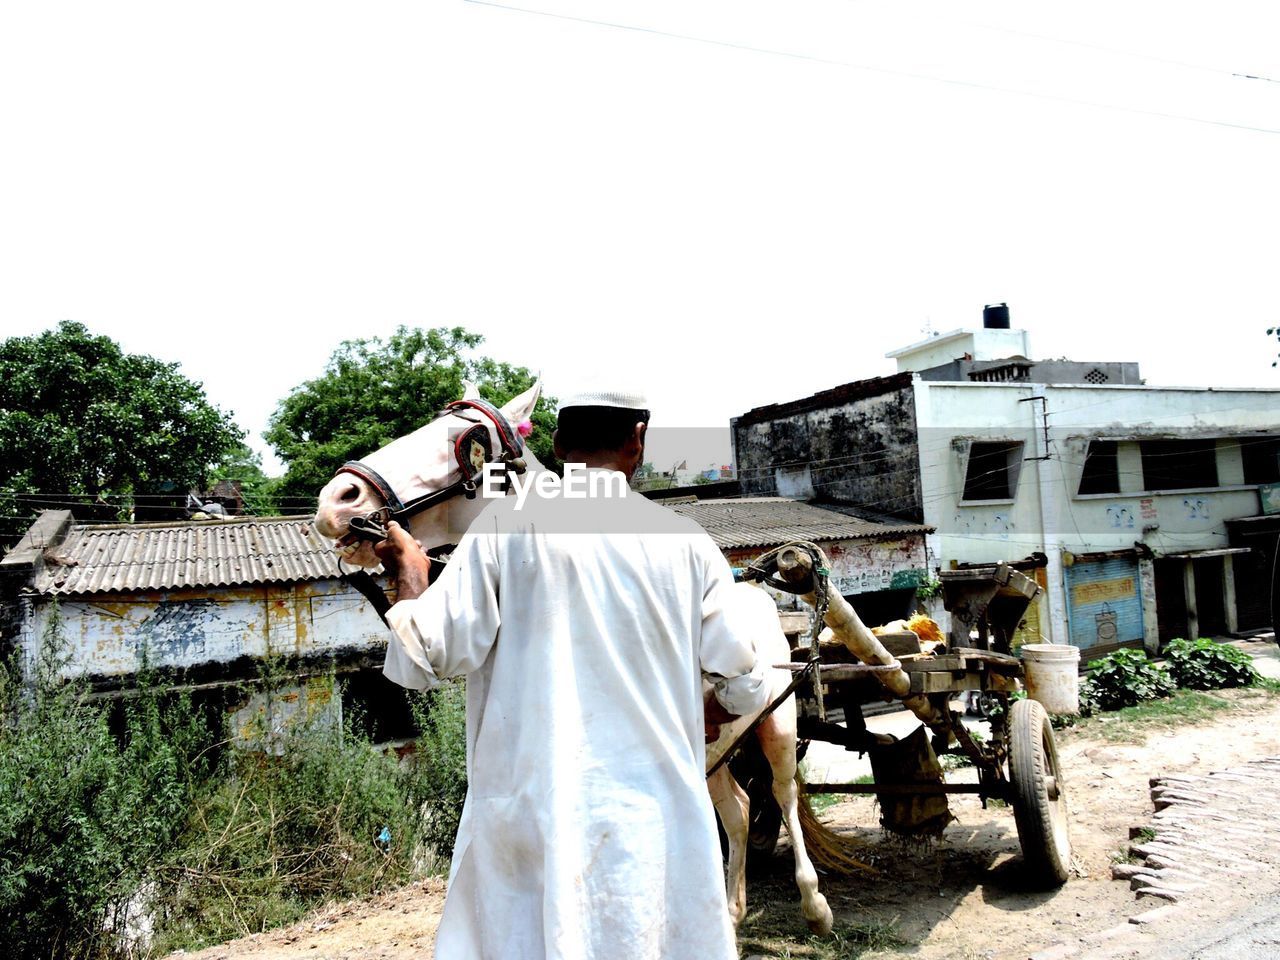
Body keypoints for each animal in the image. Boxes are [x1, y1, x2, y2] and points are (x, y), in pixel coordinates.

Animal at [313, 378, 834, 936]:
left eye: (465, 439)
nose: (336, 500)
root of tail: (763, 595)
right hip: (716, 749)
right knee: (736, 809)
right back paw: (731, 913)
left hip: (776, 719)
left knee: (782, 792)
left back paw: (813, 902)